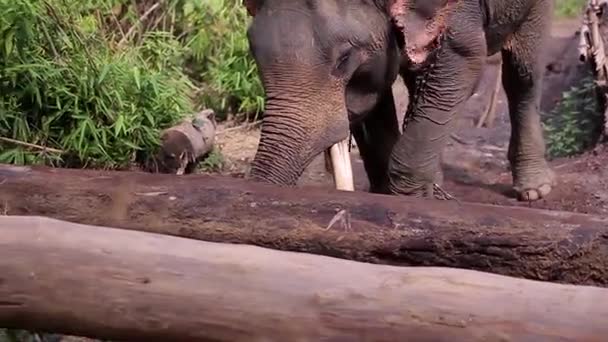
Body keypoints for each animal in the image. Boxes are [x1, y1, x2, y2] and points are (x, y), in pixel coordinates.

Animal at [242, 0, 556, 202]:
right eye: (253, 53)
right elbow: (373, 98)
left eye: (344, 59)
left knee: (522, 76)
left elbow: (464, 61)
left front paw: (410, 200)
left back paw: (533, 191)